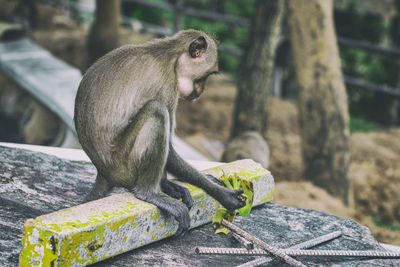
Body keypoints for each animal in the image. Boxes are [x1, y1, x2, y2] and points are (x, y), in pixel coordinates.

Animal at [73, 29, 245, 236]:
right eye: (204, 77)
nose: (201, 90)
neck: (171, 55)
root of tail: (103, 172)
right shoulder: (167, 84)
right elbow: (168, 147)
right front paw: (221, 193)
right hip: (123, 166)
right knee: (157, 110)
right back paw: (150, 192)